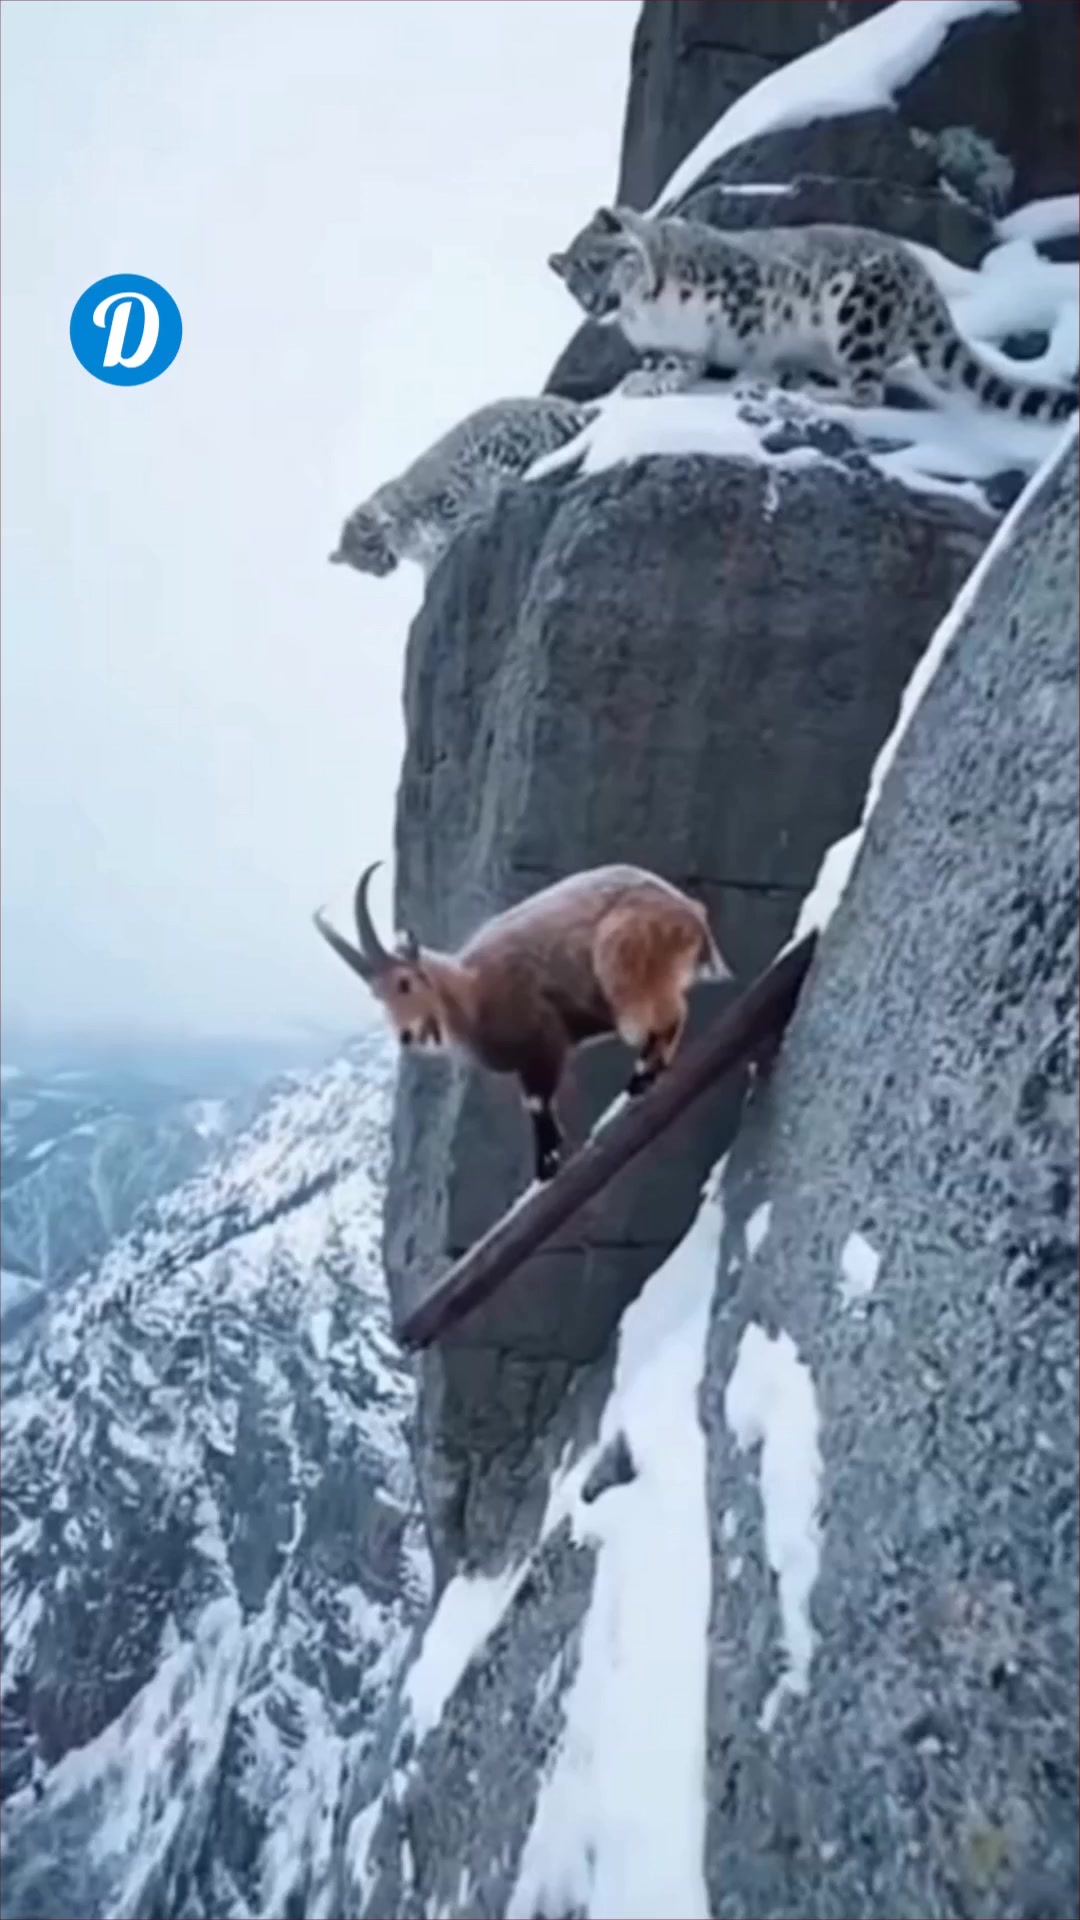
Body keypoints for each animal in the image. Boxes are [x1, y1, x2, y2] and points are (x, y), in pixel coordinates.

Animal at [314, 863, 732, 1183]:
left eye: (404, 982)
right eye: (377, 997)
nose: (407, 1035)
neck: (472, 993)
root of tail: (690, 914)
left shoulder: (544, 1041)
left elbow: (537, 1103)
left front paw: (547, 1166)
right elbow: (536, 1107)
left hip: (623, 959)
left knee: (669, 1015)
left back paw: (642, 1078)